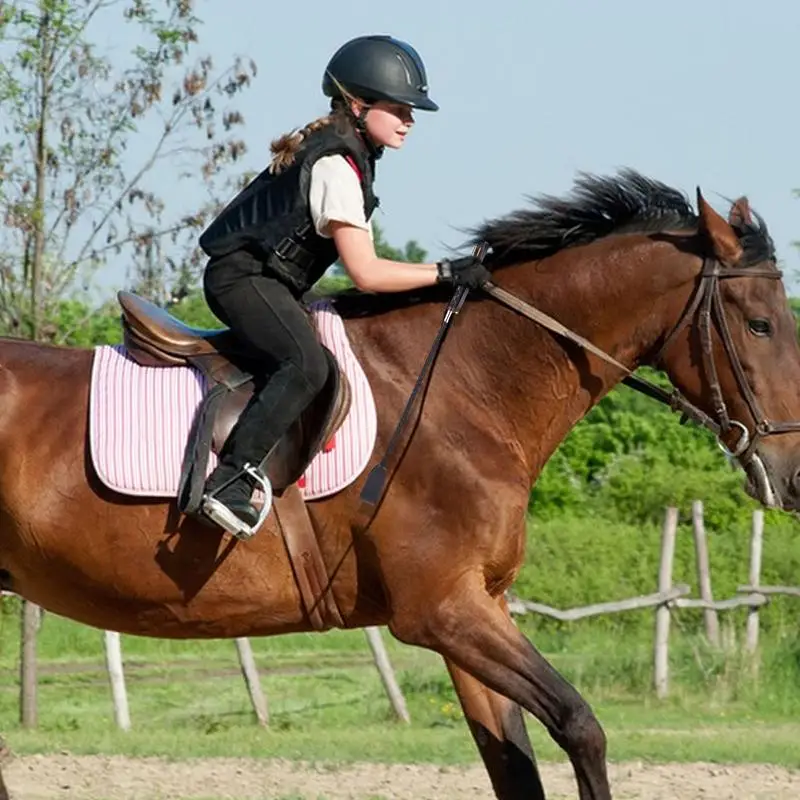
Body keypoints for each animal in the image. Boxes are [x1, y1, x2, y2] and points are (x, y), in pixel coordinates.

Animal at [1, 169, 799, 800]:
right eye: (760, 325)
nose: (792, 480)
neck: (468, 387)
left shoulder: (478, 608)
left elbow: (517, 767)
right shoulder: (442, 612)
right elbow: (581, 726)